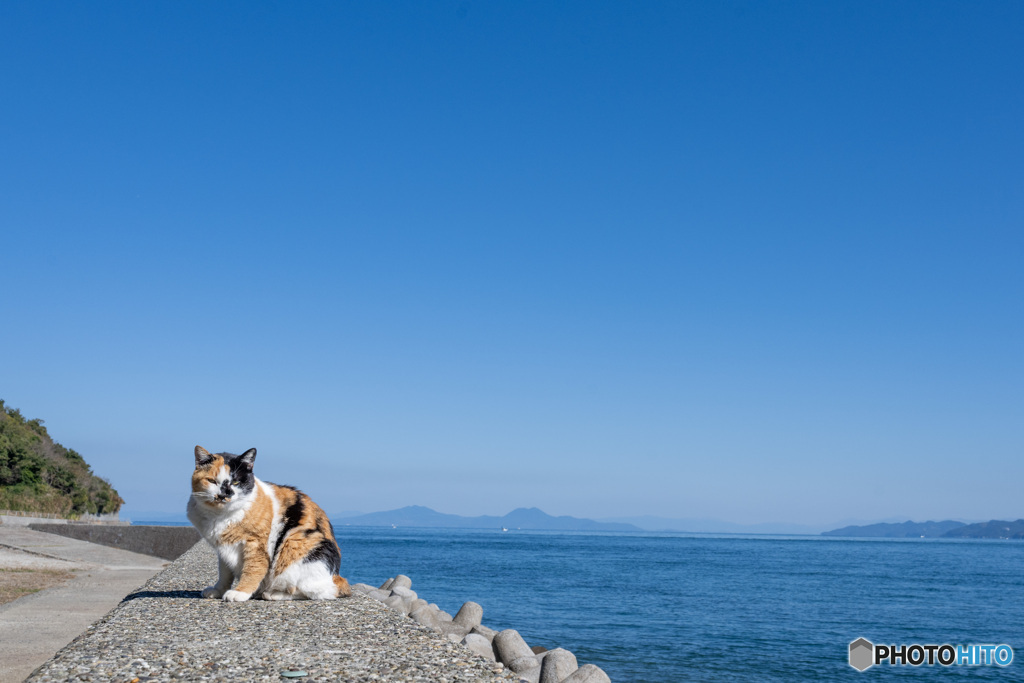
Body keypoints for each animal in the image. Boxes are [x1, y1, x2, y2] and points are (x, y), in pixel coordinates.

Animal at [188, 446, 352, 602]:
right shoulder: (223, 549)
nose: (223, 495)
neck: (219, 516)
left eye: (236, 482)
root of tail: (337, 577)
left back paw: (272, 594)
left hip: (296, 546)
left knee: (317, 591)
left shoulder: (256, 544)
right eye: (212, 481)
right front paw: (218, 590)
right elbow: (224, 573)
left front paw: (241, 592)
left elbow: (253, 568)